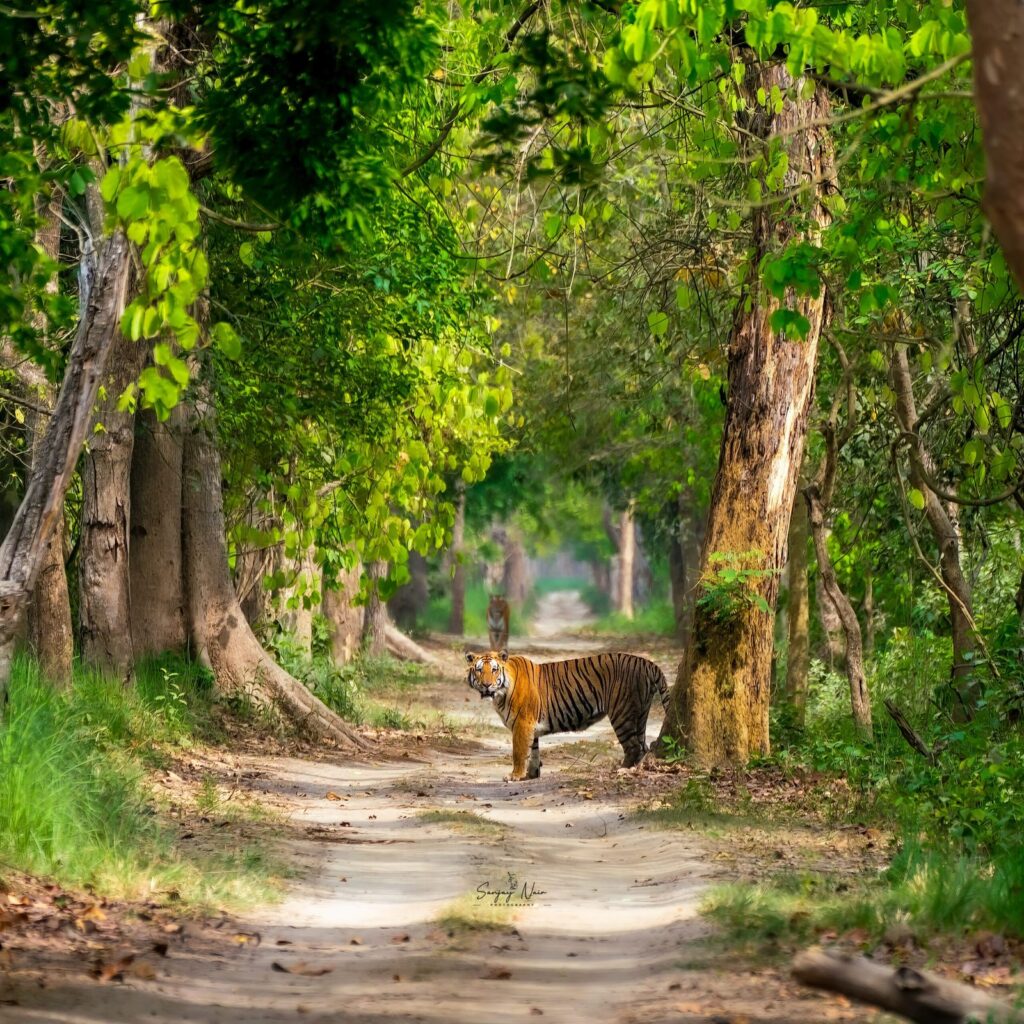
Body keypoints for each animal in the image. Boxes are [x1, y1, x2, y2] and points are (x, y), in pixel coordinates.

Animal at [466, 649, 670, 781]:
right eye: (479, 670)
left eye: (494, 669)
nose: (486, 685)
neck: (500, 693)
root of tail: (647, 663)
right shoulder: (530, 726)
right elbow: (533, 750)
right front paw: (531, 775)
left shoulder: (522, 724)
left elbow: (519, 751)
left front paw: (515, 775)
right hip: (641, 713)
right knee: (642, 745)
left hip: (622, 713)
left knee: (633, 746)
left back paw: (621, 770)